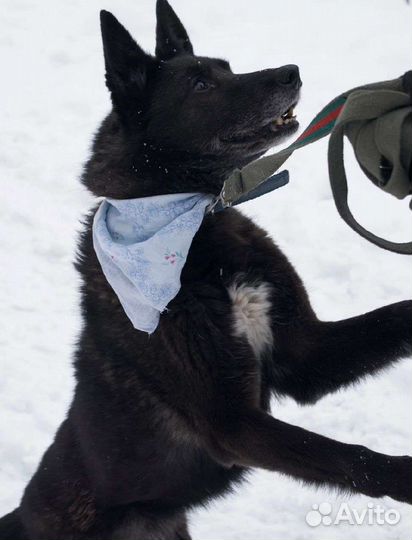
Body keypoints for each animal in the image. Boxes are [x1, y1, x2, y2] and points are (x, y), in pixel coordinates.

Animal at [0, 1, 412, 540]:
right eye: (200, 85)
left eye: (227, 68)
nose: (292, 72)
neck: (196, 223)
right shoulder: (231, 422)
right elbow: (345, 456)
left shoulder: (307, 354)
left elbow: (397, 316)